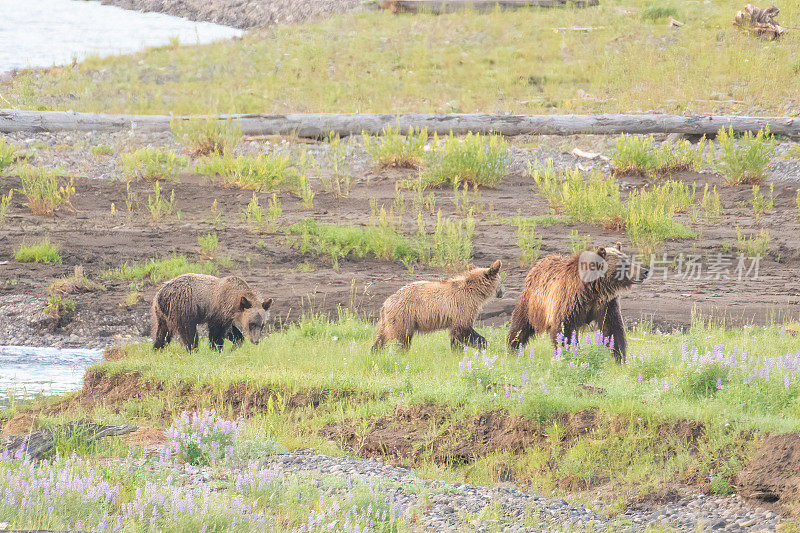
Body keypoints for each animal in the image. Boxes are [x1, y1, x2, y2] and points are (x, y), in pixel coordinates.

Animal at [510, 244, 648, 362]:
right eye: (624, 263)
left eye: (628, 259)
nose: (644, 271)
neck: (593, 289)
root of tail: (538, 264)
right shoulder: (570, 300)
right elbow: (564, 329)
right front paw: (569, 353)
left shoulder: (605, 304)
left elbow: (613, 328)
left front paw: (620, 357)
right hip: (532, 303)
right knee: (520, 326)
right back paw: (512, 348)